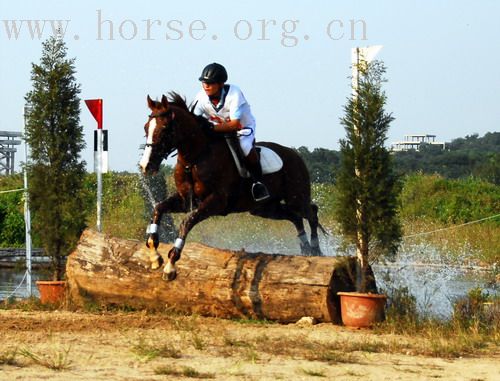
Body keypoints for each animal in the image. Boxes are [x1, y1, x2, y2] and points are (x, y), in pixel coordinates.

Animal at [139, 93, 324, 280]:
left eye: (164, 129)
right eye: (146, 128)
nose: (146, 166)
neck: (194, 159)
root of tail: (295, 155)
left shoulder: (216, 201)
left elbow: (186, 222)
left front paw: (171, 265)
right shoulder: (186, 200)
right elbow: (159, 208)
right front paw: (154, 255)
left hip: (296, 198)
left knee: (311, 213)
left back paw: (316, 250)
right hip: (265, 208)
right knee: (295, 217)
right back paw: (306, 249)